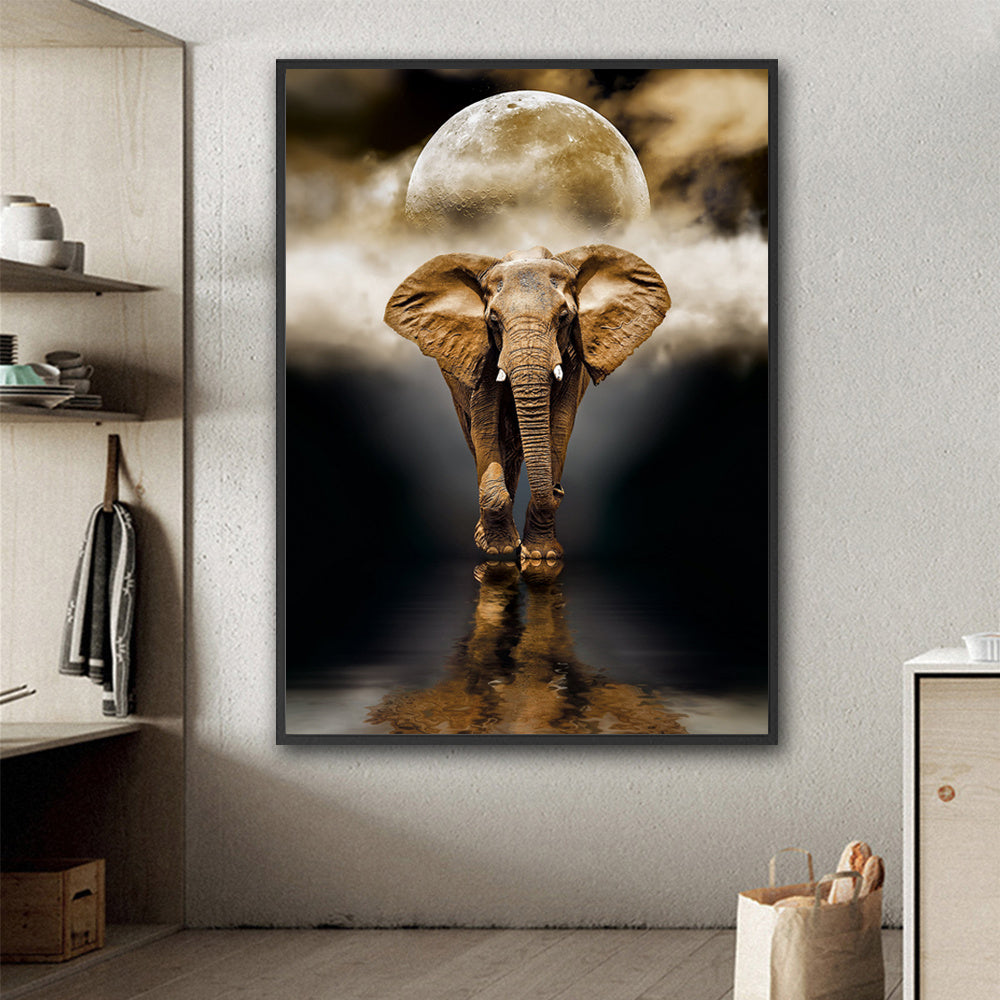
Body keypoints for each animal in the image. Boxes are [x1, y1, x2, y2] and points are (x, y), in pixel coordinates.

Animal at [383, 244, 671, 561]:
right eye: (493, 320)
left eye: (564, 318)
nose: (559, 489)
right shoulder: (484, 351)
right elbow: (485, 425)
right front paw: (498, 551)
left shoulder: (571, 357)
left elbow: (559, 425)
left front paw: (541, 556)